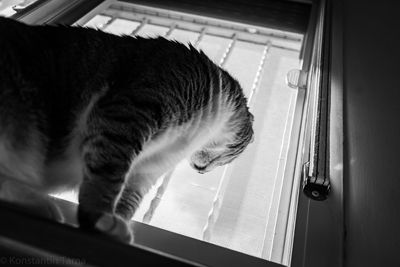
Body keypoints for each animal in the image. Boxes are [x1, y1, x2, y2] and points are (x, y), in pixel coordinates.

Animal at [0, 16, 255, 243]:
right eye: (228, 159)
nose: (201, 171)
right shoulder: (129, 114)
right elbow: (108, 177)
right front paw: (99, 218)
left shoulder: (149, 167)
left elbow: (129, 198)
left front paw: (119, 224)